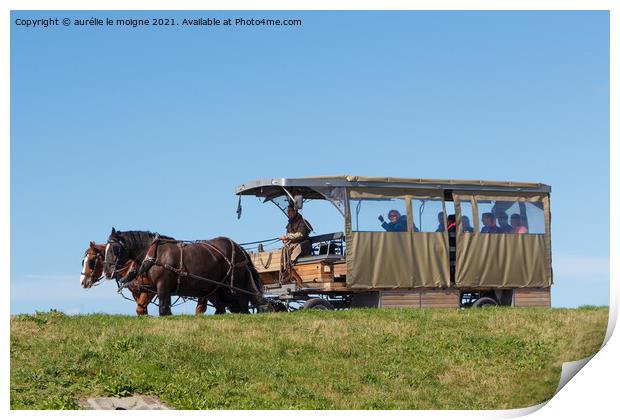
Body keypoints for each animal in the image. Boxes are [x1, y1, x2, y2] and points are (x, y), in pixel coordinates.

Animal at [77, 243, 207, 316]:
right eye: (83, 261)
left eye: (91, 261)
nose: (82, 282)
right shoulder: (136, 291)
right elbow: (141, 310)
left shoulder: (150, 290)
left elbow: (140, 309)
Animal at [103, 230, 270, 316]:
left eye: (114, 249)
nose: (106, 272)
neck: (155, 254)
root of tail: (239, 248)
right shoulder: (161, 289)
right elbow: (164, 309)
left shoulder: (162, 286)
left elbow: (163, 310)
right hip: (213, 289)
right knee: (223, 308)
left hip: (236, 283)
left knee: (245, 304)